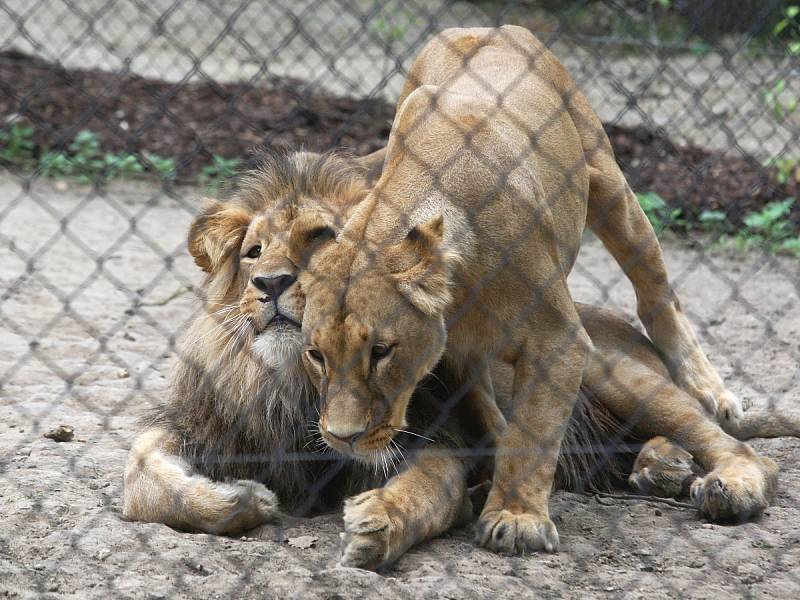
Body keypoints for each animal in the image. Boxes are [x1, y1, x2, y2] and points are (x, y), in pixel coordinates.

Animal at [286, 27, 756, 552]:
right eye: (316, 355)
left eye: (382, 352)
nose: (342, 438)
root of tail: (484, 28)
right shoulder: (460, 354)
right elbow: (495, 420)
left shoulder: (559, 339)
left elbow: (533, 429)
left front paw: (516, 518)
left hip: (610, 184)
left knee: (656, 294)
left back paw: (712, 395)